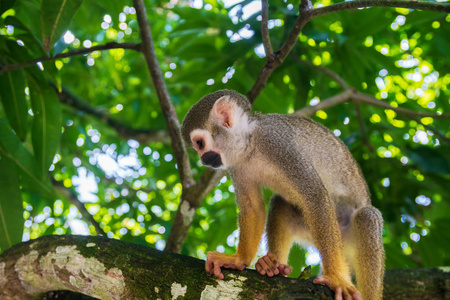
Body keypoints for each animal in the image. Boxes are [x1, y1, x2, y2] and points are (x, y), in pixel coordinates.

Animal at [181, 89, 384, 300]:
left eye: (200, 143)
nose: (203, 160)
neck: (251, 143)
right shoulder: (239, 165)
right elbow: (253, 207)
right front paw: (238, 259)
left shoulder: (277, 143)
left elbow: (316, 196)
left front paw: (336, 277)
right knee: (280, 203)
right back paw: (274, 266)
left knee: (367, 217)